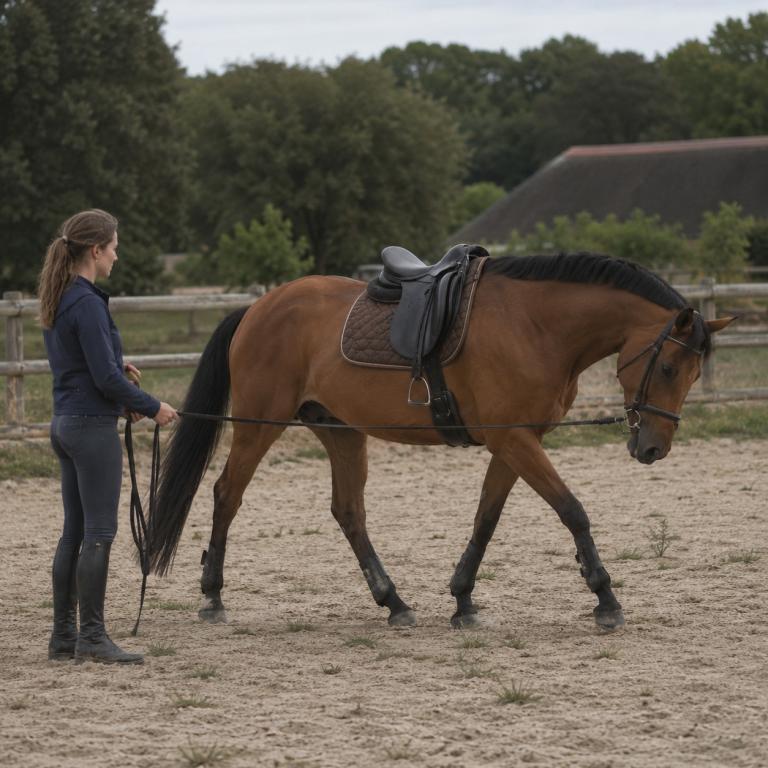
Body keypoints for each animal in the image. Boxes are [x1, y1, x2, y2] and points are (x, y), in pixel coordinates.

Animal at [145, 251, 733, 631]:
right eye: (670, 366)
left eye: (693, 372)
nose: (653, 448)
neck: (535, 324)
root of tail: (258, 308)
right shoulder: (517, 440)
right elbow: (572, 509)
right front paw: (606, 598)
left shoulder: (514, 441)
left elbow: (486, 518)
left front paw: (463, 600)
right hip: (258, 424)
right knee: (227, 494)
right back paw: (213, 595)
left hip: (340, 432)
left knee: (348, 511)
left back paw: (394, 603)